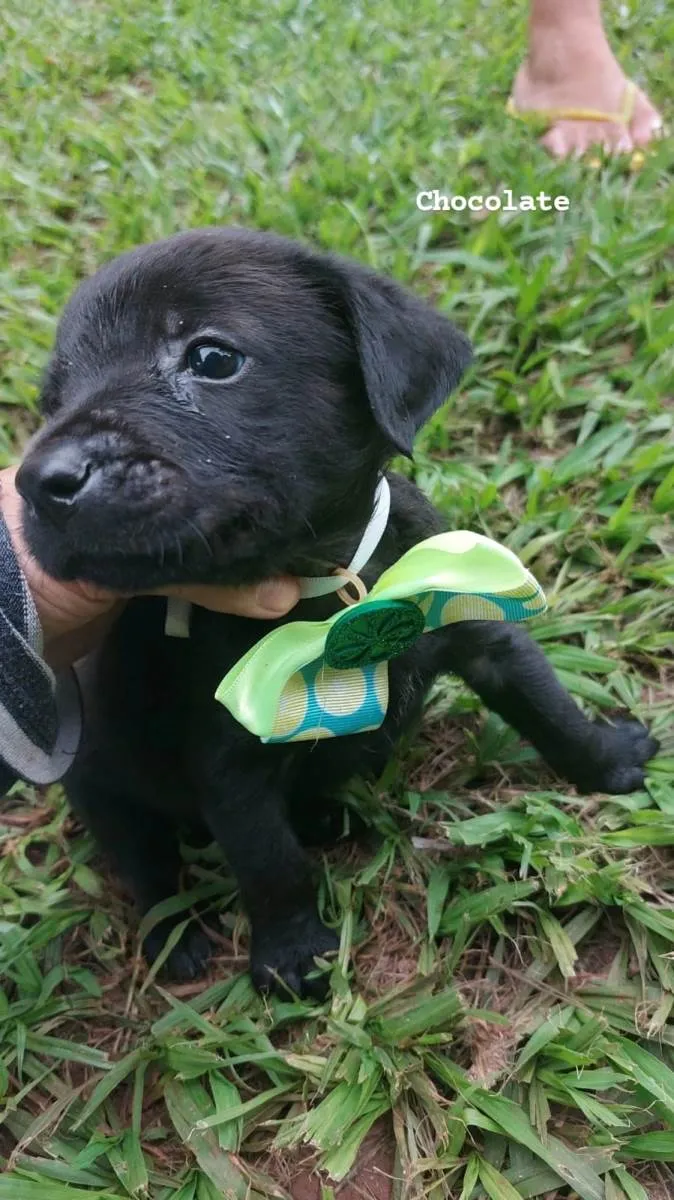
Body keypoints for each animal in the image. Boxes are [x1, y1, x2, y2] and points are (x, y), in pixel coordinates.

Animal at [17, 225, 657, 993]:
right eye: (53, 400)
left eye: (212, 358)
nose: (37, 483)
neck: (334, 585)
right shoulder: (233, 764)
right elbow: (272, 866)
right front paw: (292, 952)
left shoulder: (485, 633)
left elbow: (550, 708)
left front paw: (608, 762)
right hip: (105, 794)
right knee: (147, 869)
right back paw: (174, 938)